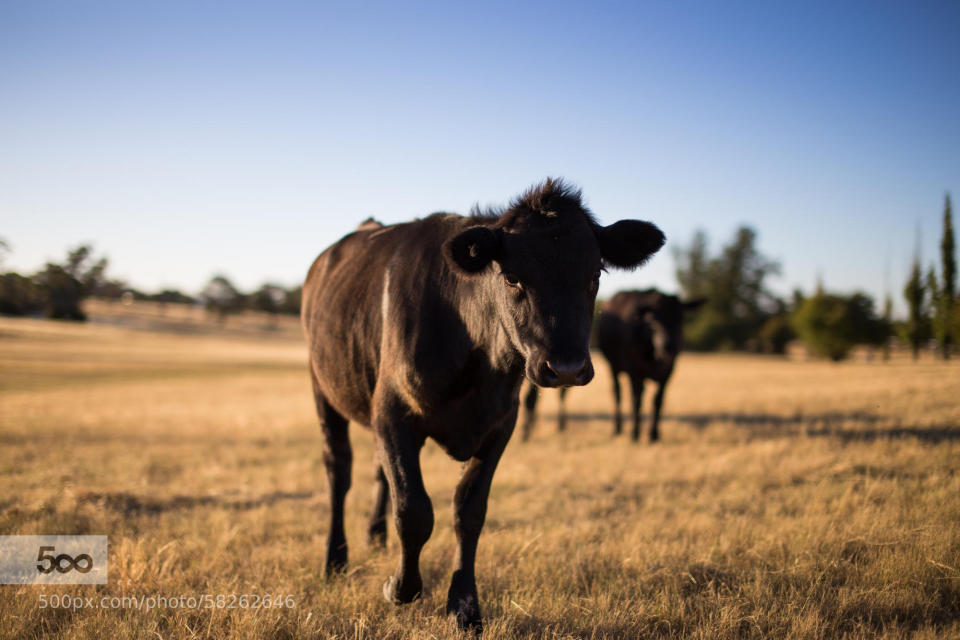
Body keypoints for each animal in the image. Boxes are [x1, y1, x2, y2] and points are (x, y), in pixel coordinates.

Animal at [304, 178, 664, 628]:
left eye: (595, 273)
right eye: (511, 277)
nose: (565, 367)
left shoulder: (500, 424)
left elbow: (469, 510)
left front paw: (465, 606)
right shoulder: (392, 412)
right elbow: (414, 510)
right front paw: (400, 588)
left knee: (376, 470)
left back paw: (375, 536)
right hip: (322, 389)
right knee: (339, 470)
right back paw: (334, 559)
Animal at [596, 288, 700, 440]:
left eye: (680, 320)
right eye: (654, 322)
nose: (668, 348)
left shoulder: (668, 372)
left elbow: (658, 400)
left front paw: (654, 434)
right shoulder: (634, 371)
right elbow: (636, 400)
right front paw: (635, 433)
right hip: (612, 365)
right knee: (617, 392)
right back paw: (617, 428)